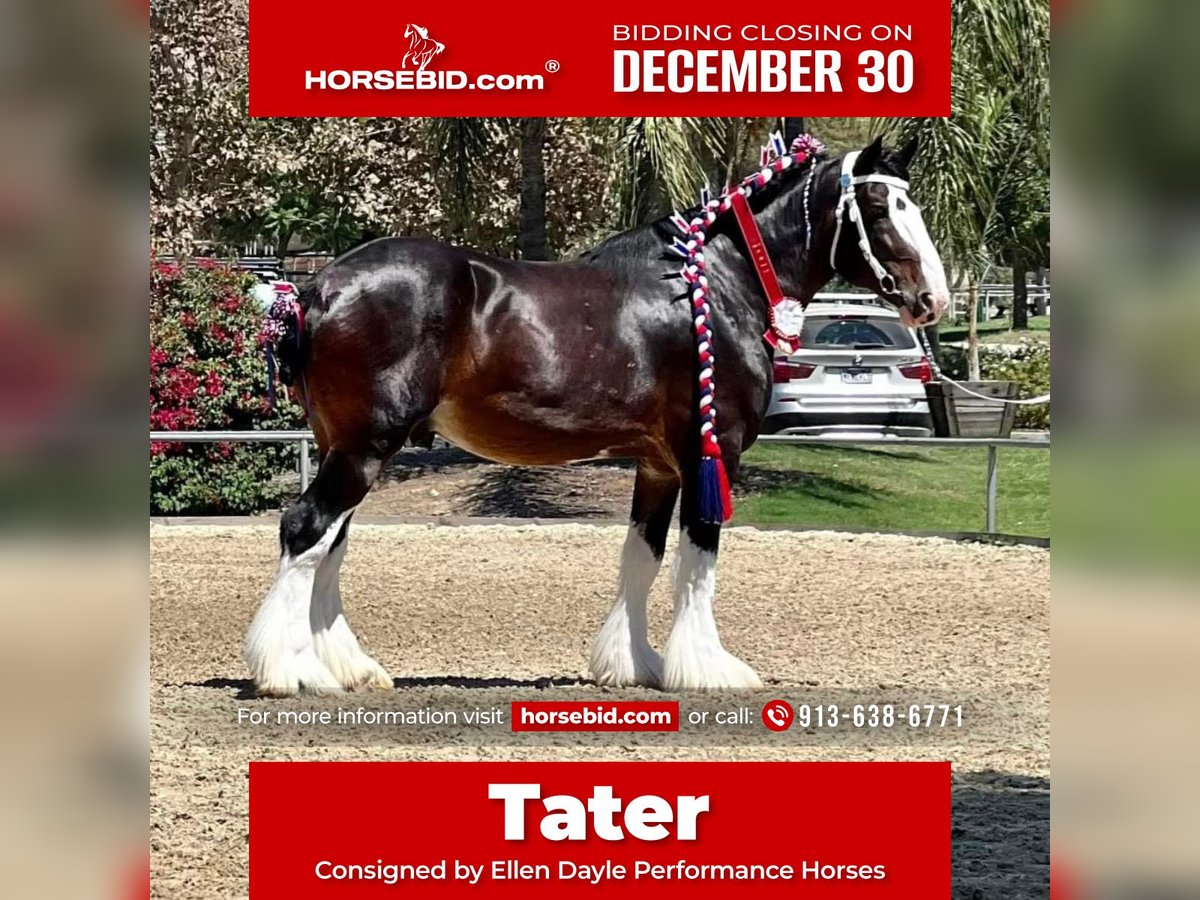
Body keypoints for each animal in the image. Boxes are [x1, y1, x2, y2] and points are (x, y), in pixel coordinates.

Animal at [246, 135, 945, 696]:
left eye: (911, 204)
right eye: (879, 207)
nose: (930, 299)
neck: (717, 286)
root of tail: (317, 286)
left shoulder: (659, 465)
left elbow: (643, 555)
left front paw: (635, 664)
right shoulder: (709, 452)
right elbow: (699, 558)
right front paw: (708, 669)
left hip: (348, 446)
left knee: (331, 543)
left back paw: (347, 668)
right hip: (366, 446)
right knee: (306, 529)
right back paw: (291, 672)